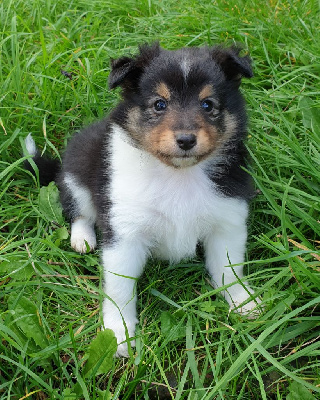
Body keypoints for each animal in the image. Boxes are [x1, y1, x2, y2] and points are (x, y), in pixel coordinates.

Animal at [25, 43, 260, 356]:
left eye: (208, 105)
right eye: (159, 104)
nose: (186, 140)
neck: (178, 175)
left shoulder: (227, 221)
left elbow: (228, 269)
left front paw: (243, 303)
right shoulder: (125, 232)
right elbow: (120, 290)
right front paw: (119, 335)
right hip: (77, 176)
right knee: (80, 211)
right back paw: (83, 239)